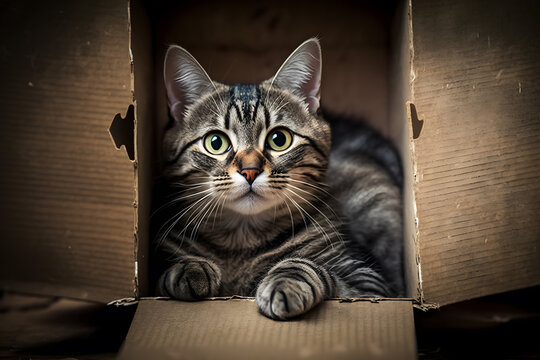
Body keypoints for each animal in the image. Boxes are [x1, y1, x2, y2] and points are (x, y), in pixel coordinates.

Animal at [154, 38, 402, 320]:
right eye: (215, 142)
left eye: (279, 139)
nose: (250, 170)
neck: (241, 240)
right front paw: (189, 268)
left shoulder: (369, 282)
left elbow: (309, 266)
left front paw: (286, 282)